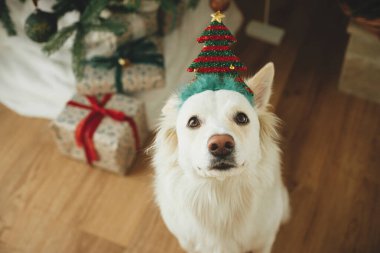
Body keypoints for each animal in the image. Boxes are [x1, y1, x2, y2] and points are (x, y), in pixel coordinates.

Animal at [150, 61, 290, 253]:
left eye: (242, 118)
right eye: (193, 122)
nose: (221, 144)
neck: (221, 196)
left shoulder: (264, 241)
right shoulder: (189, 243)